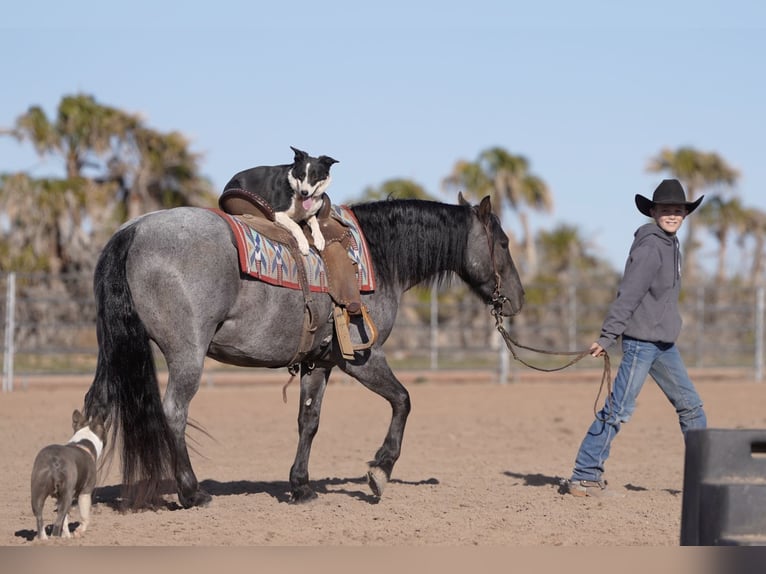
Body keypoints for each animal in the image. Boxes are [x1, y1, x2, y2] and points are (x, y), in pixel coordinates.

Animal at [83, 193, 524, 510]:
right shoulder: (361, 359)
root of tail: (133, 231)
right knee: (174, 412)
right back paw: (192, 492)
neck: (378, 256)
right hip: (186, 354)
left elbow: (308, 421)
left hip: (114, 352)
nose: (517, 299)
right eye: (503, 243)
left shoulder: (319, 363)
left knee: (97, 407)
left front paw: (301, 486)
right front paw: (379, 471)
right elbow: (403, 400)